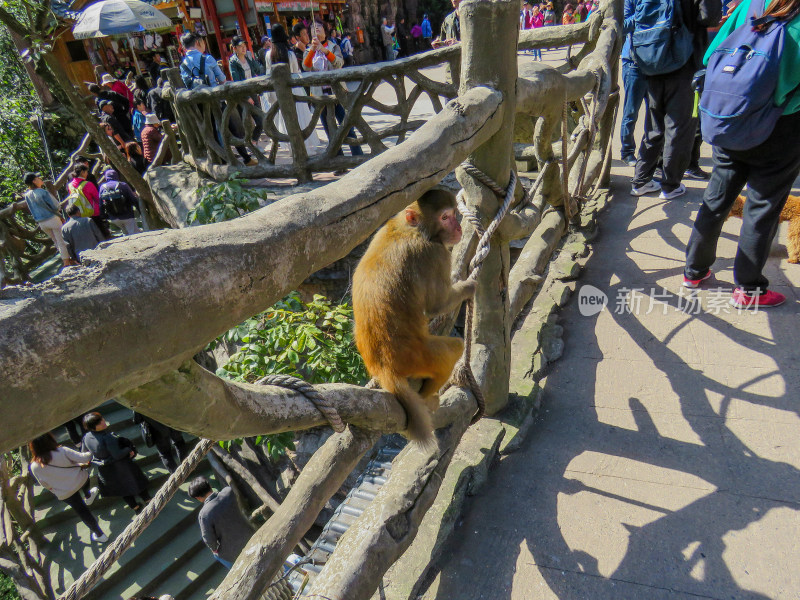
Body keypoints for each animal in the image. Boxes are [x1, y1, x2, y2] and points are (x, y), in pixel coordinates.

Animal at [354, 190, 478, 442]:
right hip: (423, 357)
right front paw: (468, 286)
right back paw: (427, 397)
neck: (408, 229)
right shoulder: (435, 253)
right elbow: (437, 305)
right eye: (444, 217)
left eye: (454, 214)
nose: (458, 228)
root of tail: (385, 367)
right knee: (454, 348)